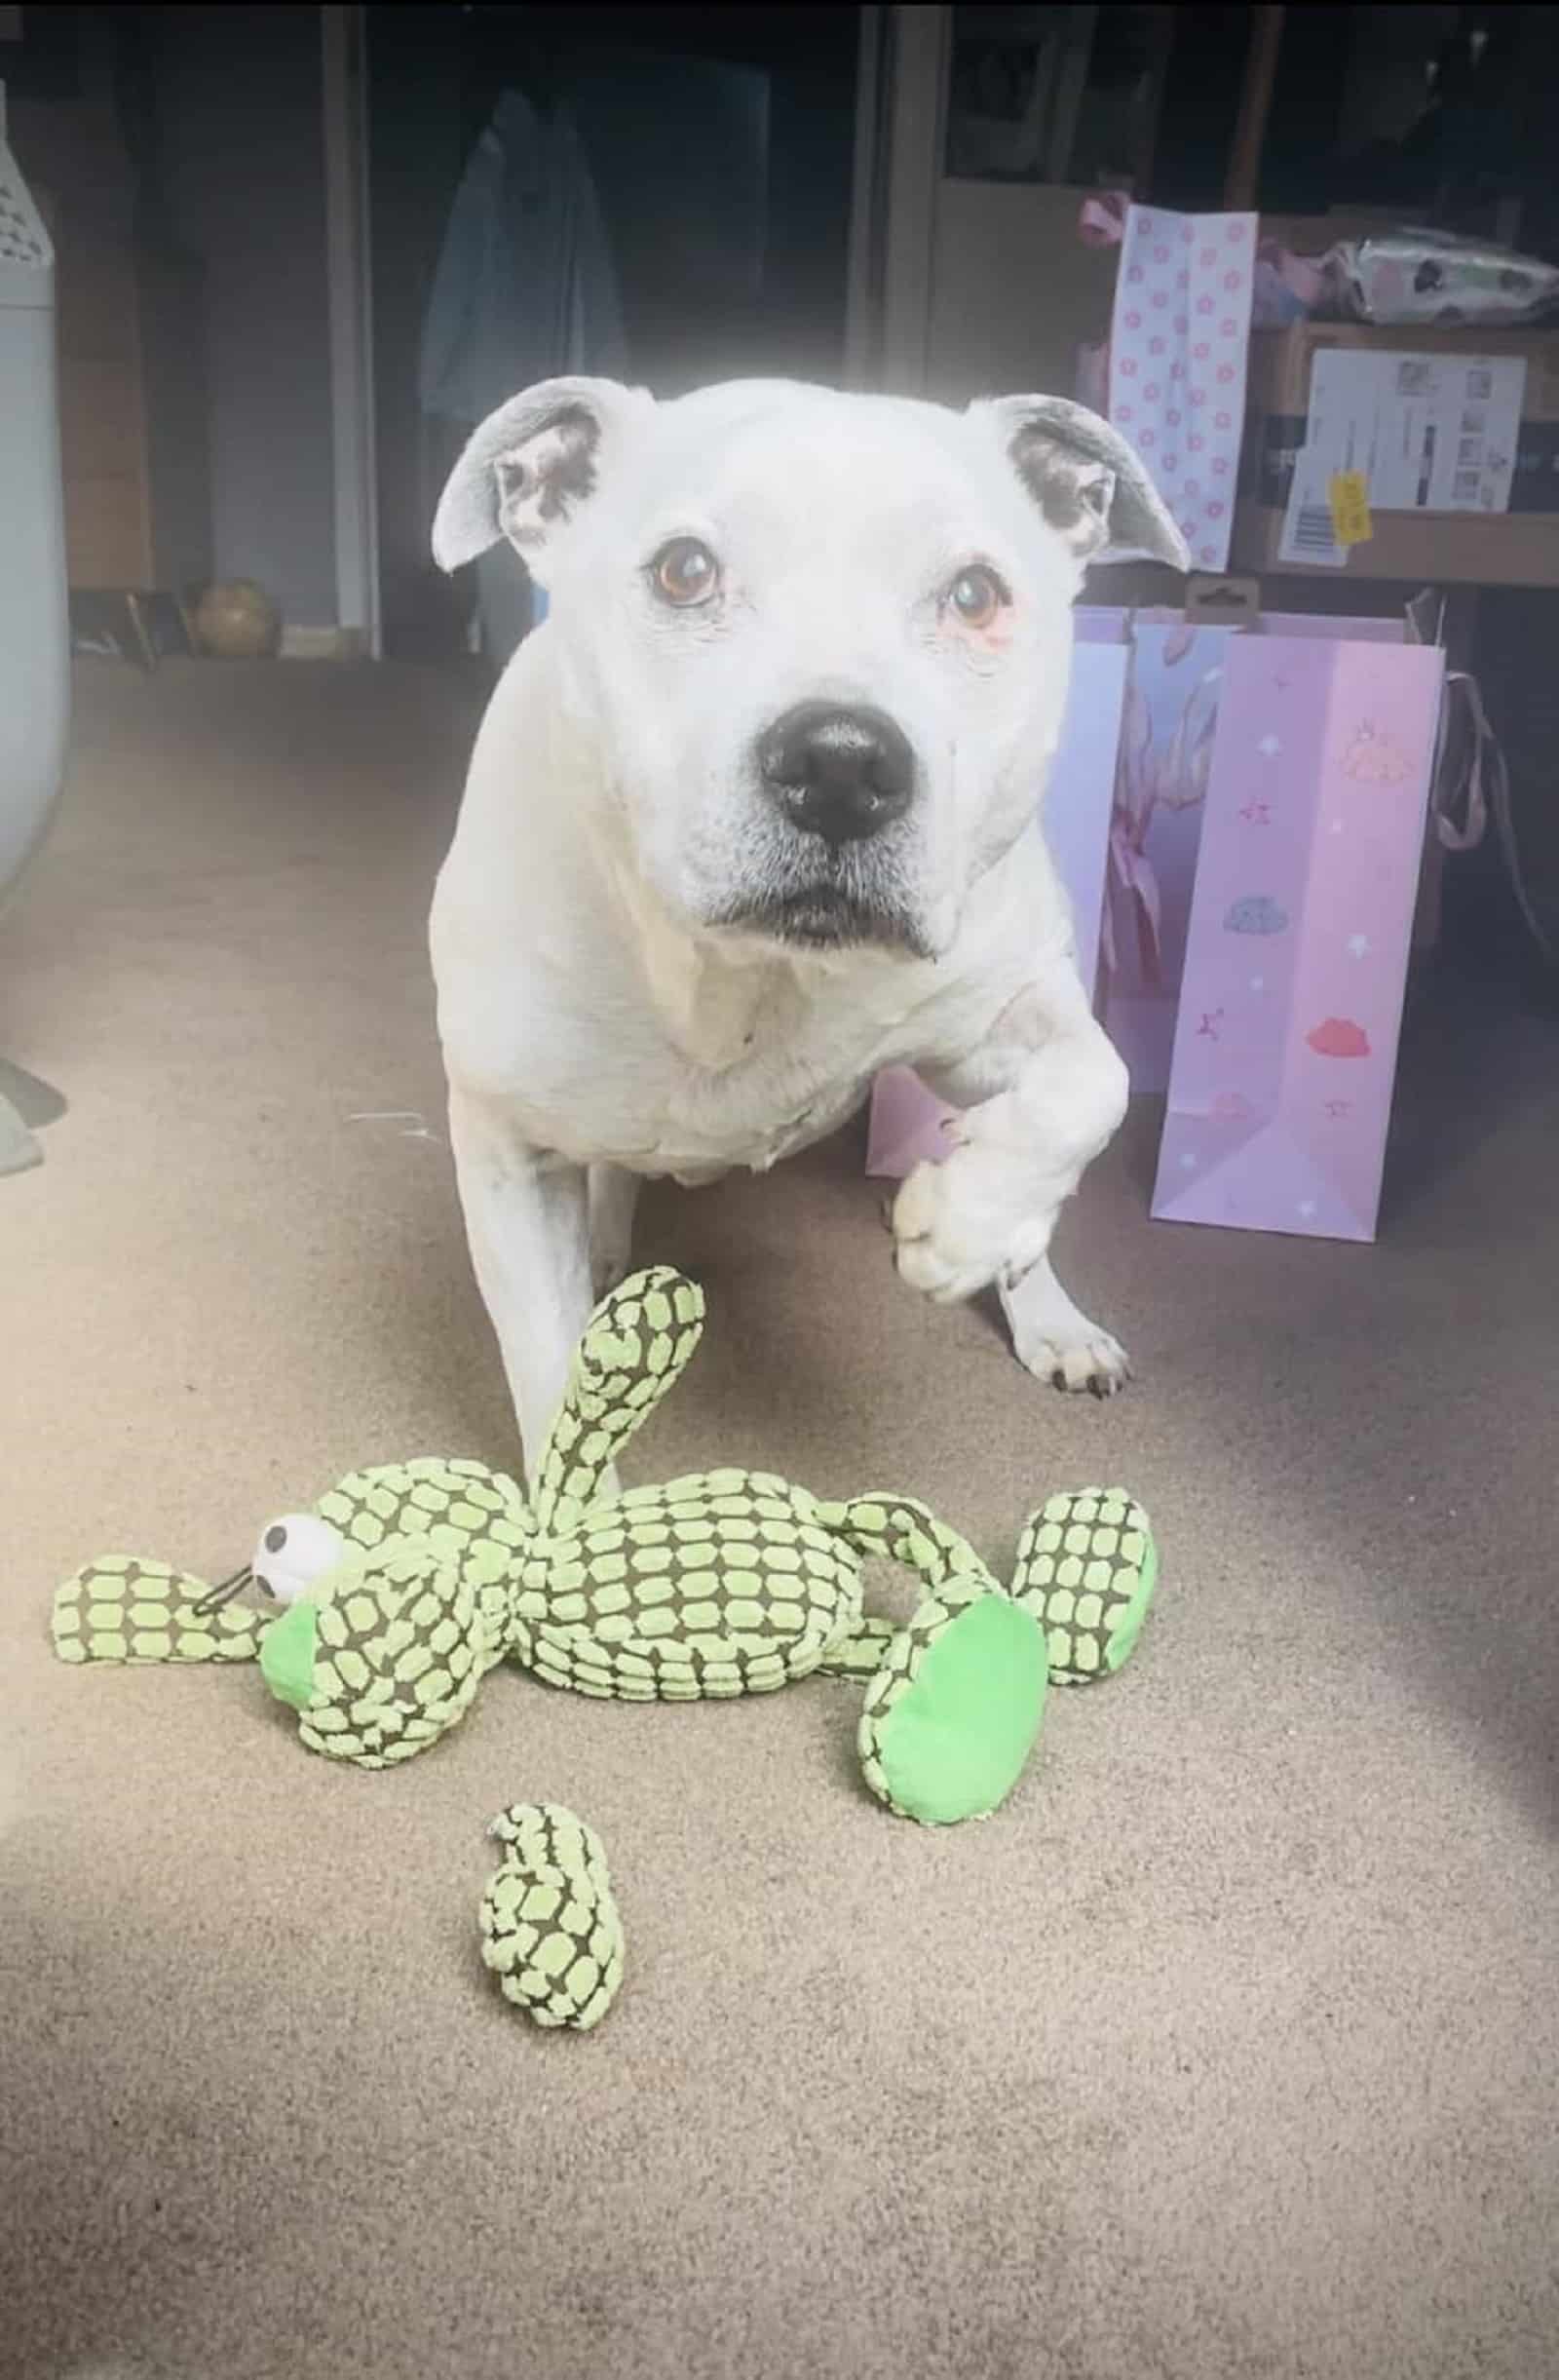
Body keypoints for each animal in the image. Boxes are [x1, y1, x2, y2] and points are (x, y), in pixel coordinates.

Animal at [426, 373, 1185, 1476]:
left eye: (974, 595)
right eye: (684, 571)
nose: (841, 763)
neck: (751, 976)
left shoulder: (995, 1013)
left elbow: (1097, 1085)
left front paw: (964, 1222)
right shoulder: (507, 1150)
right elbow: (548, 1380)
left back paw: (1043, 1305)